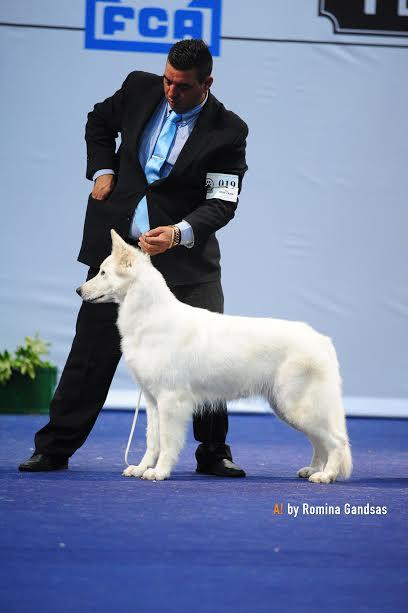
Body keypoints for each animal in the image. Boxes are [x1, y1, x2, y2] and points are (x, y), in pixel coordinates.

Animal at [78, 230, 352, 482]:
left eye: (103, 273)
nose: (79, 290)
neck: (150, 318)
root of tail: (322, 340)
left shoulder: (170, 400)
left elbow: (166, 441)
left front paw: (160, 472)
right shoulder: (153, 401)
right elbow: (152, 440)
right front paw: (142, 468)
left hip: (298, 406)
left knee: (337, 441)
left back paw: (326, 475)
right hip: (288, 408)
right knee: (319, 442)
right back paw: (313, 470)